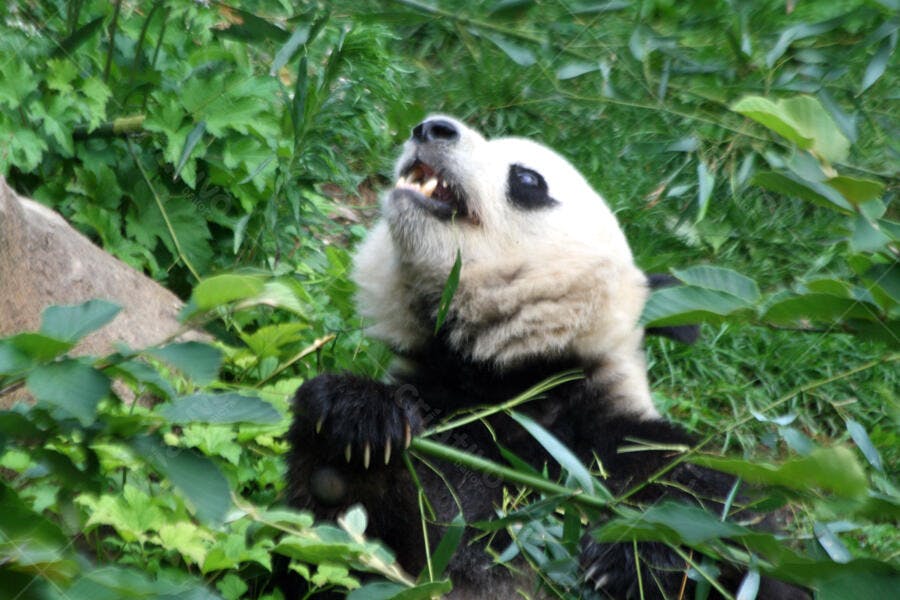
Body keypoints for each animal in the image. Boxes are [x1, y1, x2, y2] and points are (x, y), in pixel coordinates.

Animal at [286, 116, 807, 599]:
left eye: (527, 178)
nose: (432, 127)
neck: (510, 377)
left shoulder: (620, 444)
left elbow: (734, 539)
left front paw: (632, 554)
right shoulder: (443, 416)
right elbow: (332, 541)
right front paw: (359, 419)